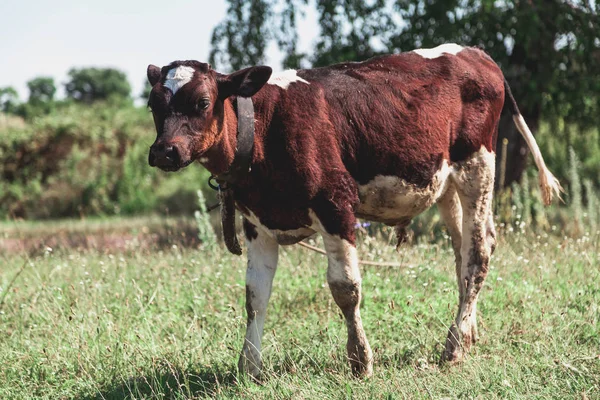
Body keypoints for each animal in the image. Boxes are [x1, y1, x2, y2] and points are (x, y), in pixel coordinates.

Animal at [146, 43, 564, 378]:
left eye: (202, 102)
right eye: (153, 105)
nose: (164, 151)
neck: (264, 130)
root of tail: (475, 53)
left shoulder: (335, 204)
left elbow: (345, 288)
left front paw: (360, 360)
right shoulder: (258, 225)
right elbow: (255, 297)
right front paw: (249, 367)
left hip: (478, 165)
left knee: (478, 251)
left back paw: (454, 345)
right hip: (444, 183)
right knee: (462, 254)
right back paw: (467, 332)